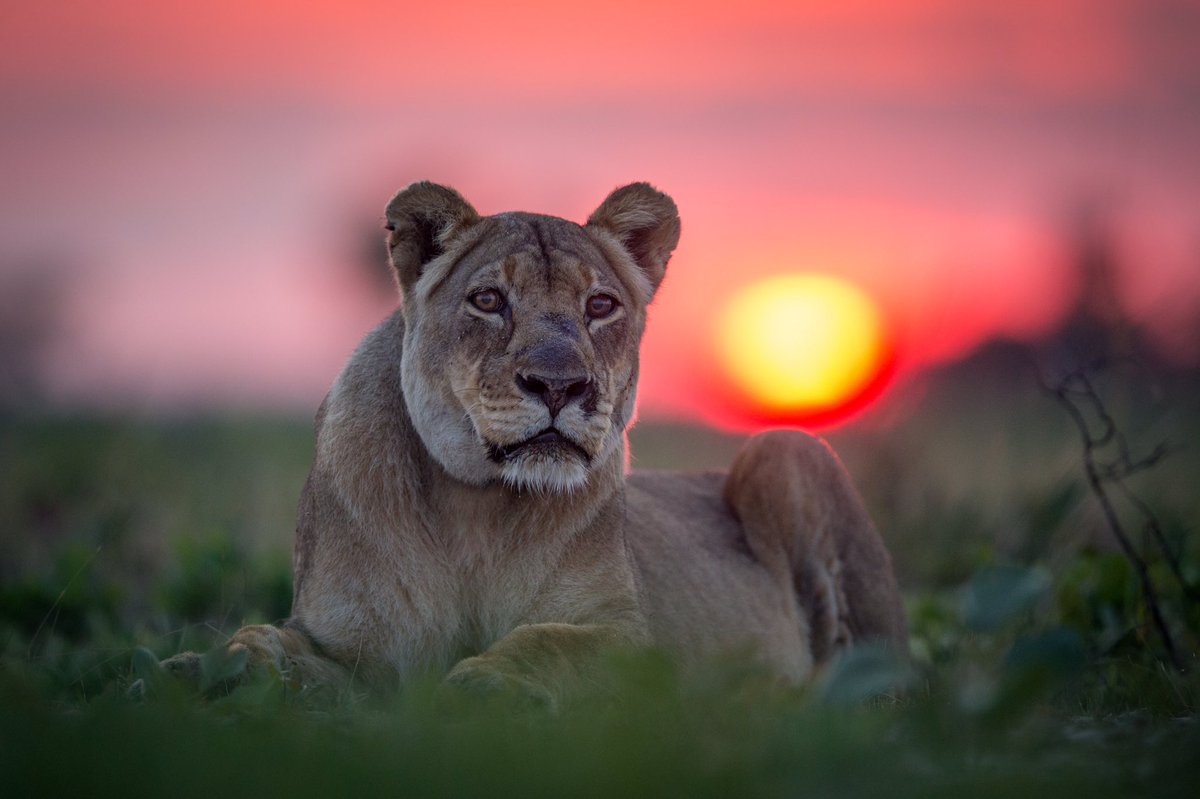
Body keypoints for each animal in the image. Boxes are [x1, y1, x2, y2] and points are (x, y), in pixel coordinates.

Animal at [162, 182, 906, 705]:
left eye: (600, 306)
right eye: (488, 300)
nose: (559, 385)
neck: (475, 508)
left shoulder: (643, 645)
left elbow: (549, 640)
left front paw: (486, 683)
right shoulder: (349, 644)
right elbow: (266, 638)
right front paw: (202, 667)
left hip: (783, 450)